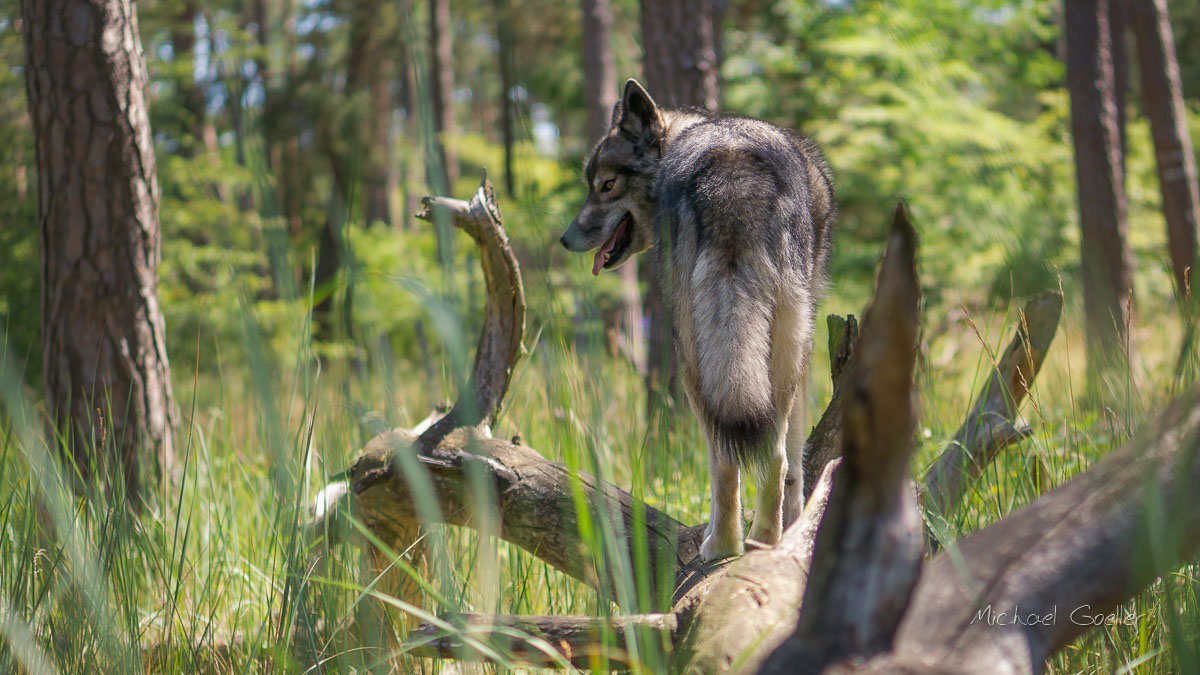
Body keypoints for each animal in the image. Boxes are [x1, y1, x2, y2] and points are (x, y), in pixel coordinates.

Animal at [560, 79, 835, 561]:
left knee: (726, 456)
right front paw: (795, 523)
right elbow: (795, 460)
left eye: (606, 186)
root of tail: (731, 166)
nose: (564, 238)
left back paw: (723, 544)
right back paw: (761, 542)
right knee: (768, 454)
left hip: (690, 348)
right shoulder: (804, 355)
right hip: (771, 345)